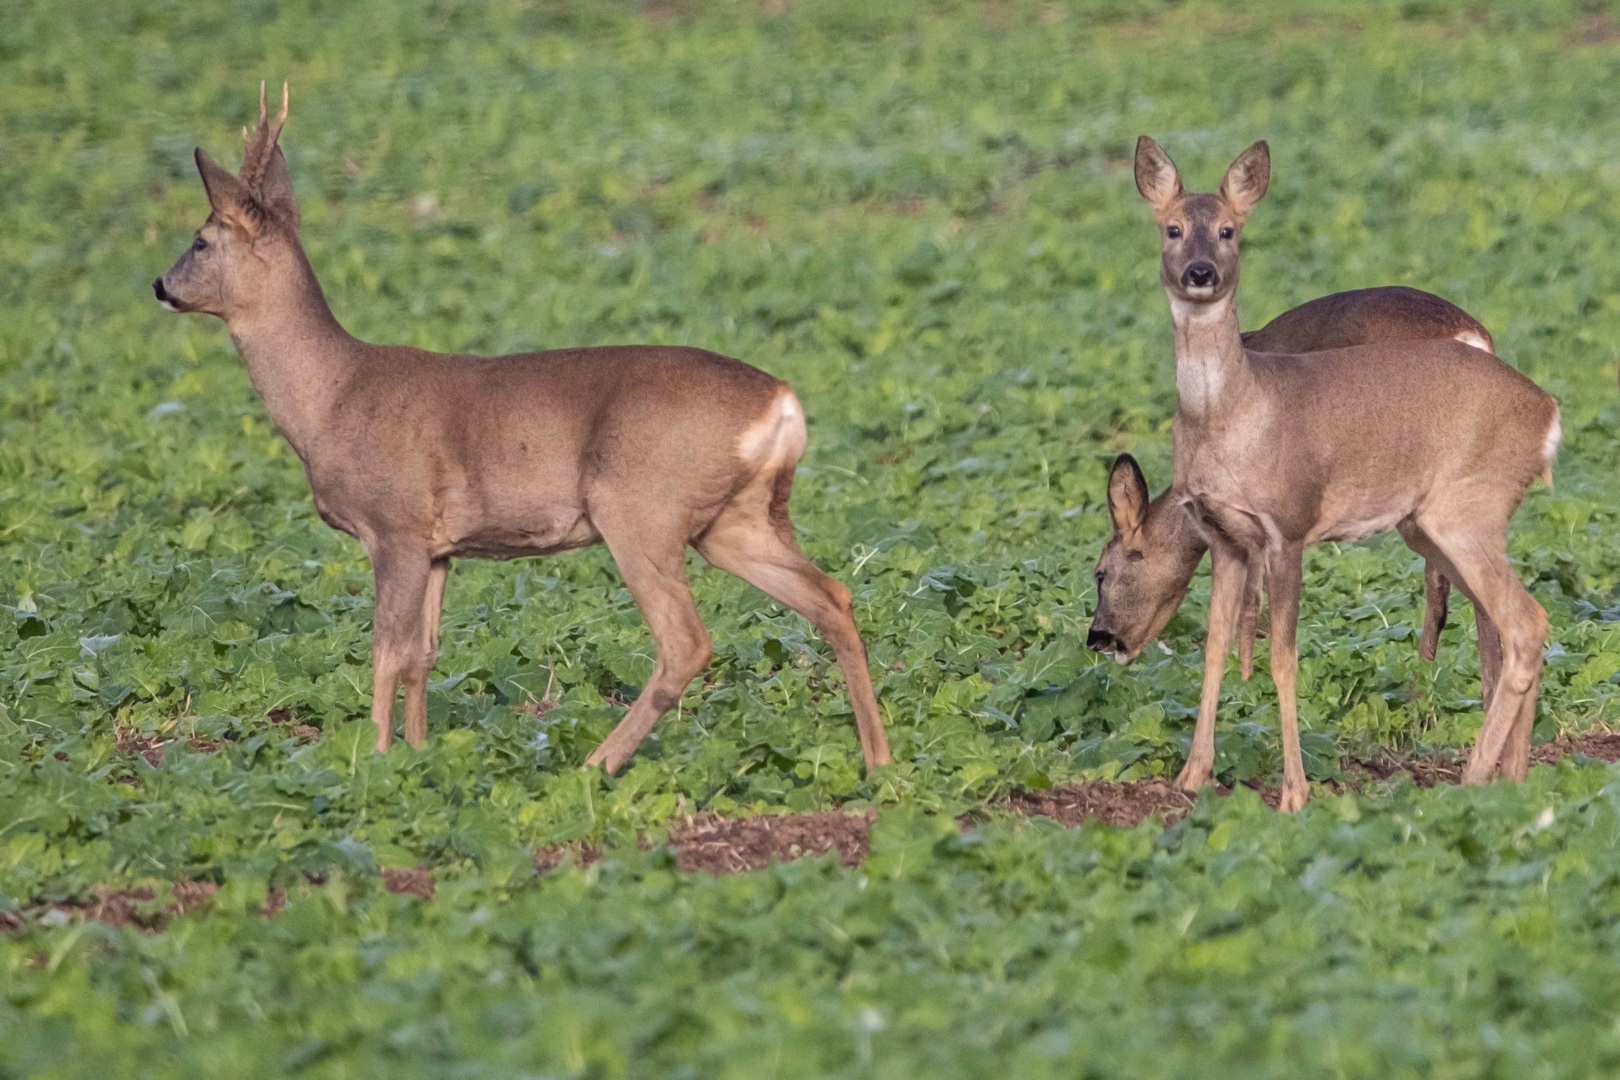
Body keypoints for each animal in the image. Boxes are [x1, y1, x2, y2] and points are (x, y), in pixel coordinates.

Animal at [153, 88, 894, 773]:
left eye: (200, 240)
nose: (160, 285)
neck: (329, 397)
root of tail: (782, 402)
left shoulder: (395, 526)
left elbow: (387, 650)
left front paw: (376, 758)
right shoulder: (441, 548)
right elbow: (425, 653)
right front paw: (419, 754)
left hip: (642, 508)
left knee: (687, 641)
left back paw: (595, 765)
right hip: (737, 519)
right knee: (832, 596)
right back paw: (878, 761)